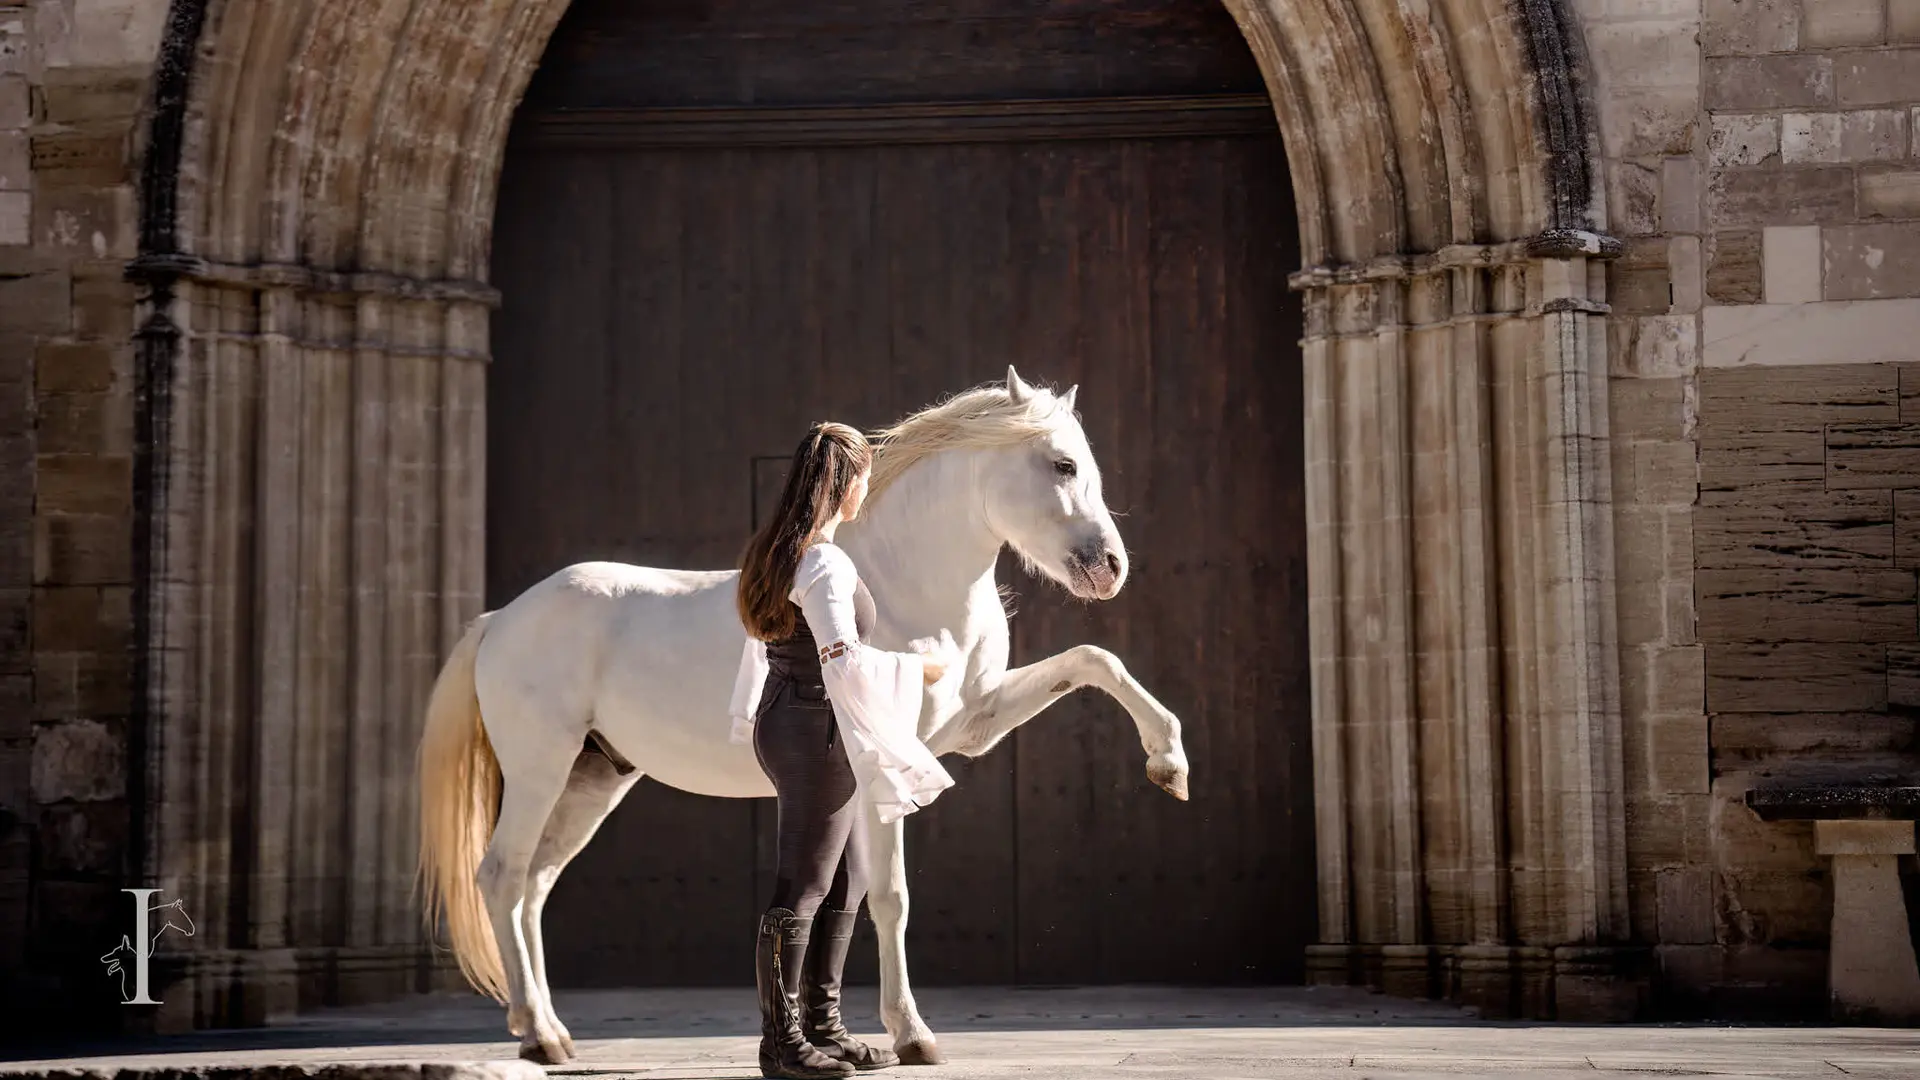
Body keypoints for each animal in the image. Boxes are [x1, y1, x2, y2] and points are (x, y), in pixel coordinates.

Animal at [417, 367, 1191, 1064]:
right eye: (1062, 464)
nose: (1110, 567)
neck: (903, 584)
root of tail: (500, 619)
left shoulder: (974, 724)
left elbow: (1095, 660)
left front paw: (1169, 763)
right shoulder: (885, 775)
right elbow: (890, 899)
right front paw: (912, 1036)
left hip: (592, 779)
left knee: (533, 885)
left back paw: (546, 1027)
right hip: (541, 772)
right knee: (503, 876)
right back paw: (541, 1038)